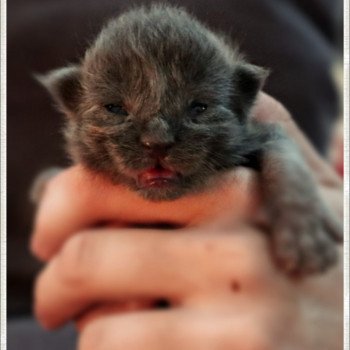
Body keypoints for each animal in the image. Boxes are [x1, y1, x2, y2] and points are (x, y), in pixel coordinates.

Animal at [38, 3, 342, 276]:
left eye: (199, 107)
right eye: (115, 108)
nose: (157, 141)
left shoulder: (262, 134)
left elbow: (285, 159)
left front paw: (304, 233)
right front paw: (44, 185)